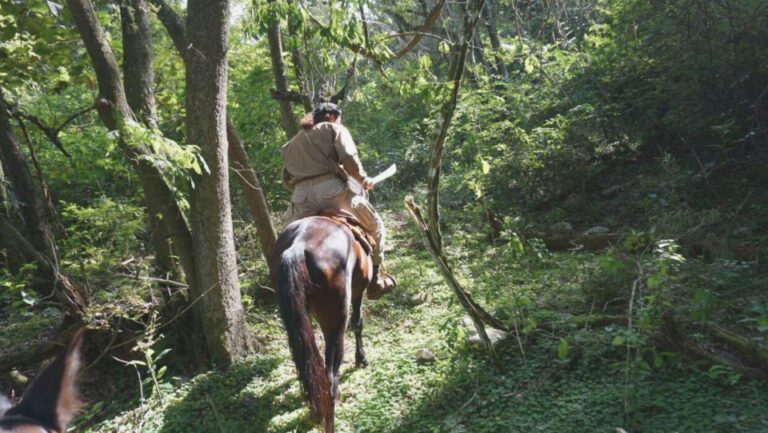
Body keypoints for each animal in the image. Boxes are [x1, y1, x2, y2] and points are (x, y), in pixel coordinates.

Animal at [270, 211, 376, 430]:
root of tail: (298, 246)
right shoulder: (358, 292)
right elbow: (358, 323)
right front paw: (361, 358)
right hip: (335, 323)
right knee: (330, 382)